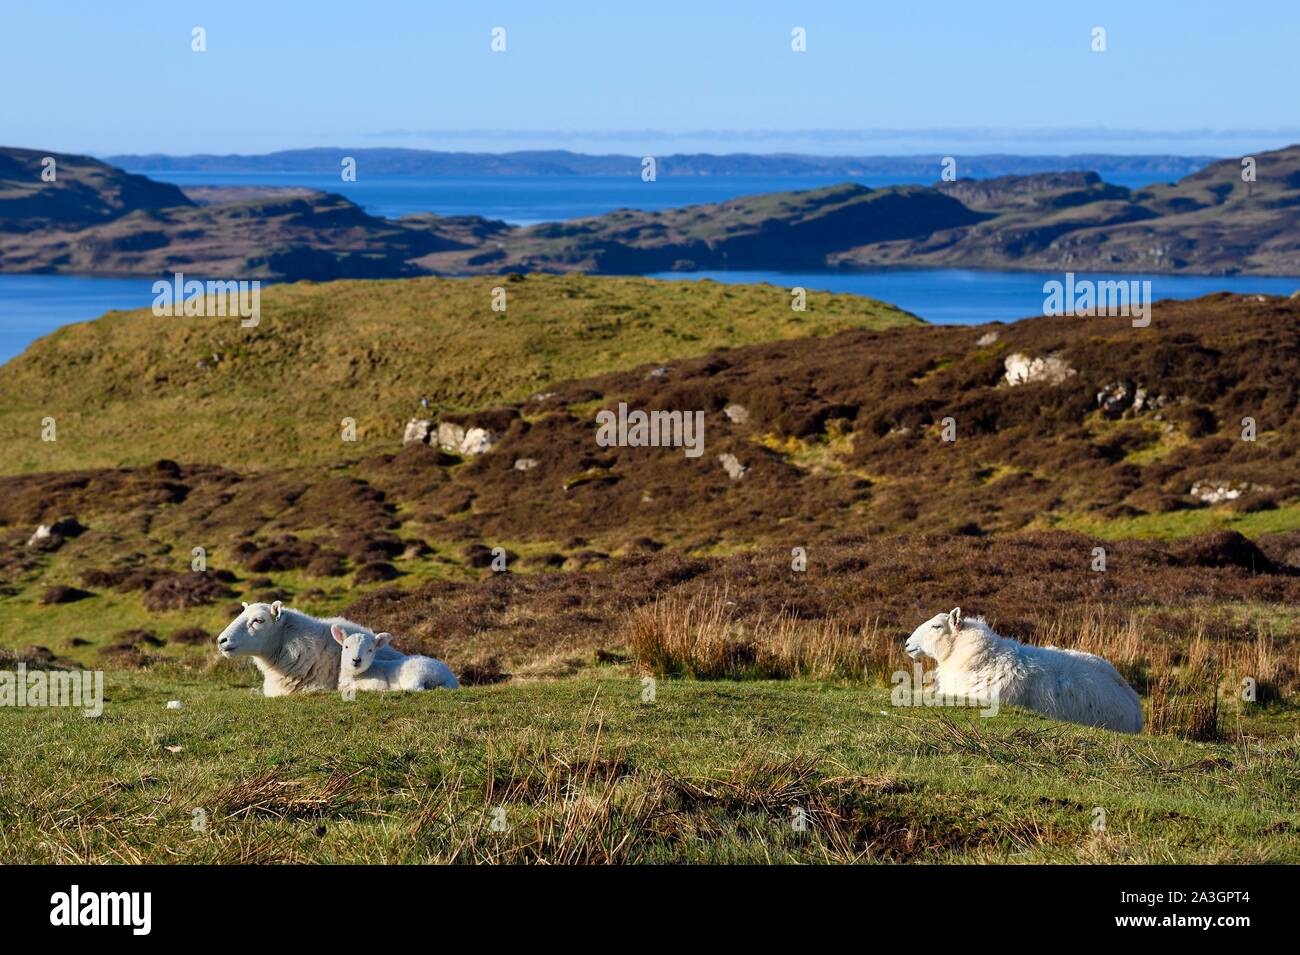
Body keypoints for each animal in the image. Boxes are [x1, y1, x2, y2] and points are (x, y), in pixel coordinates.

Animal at [332, 623, 460, 691]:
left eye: (370, 650)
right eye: (346, 646)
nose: (356, 660)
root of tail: (448, 676)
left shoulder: (376, 684)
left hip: (415, 675)